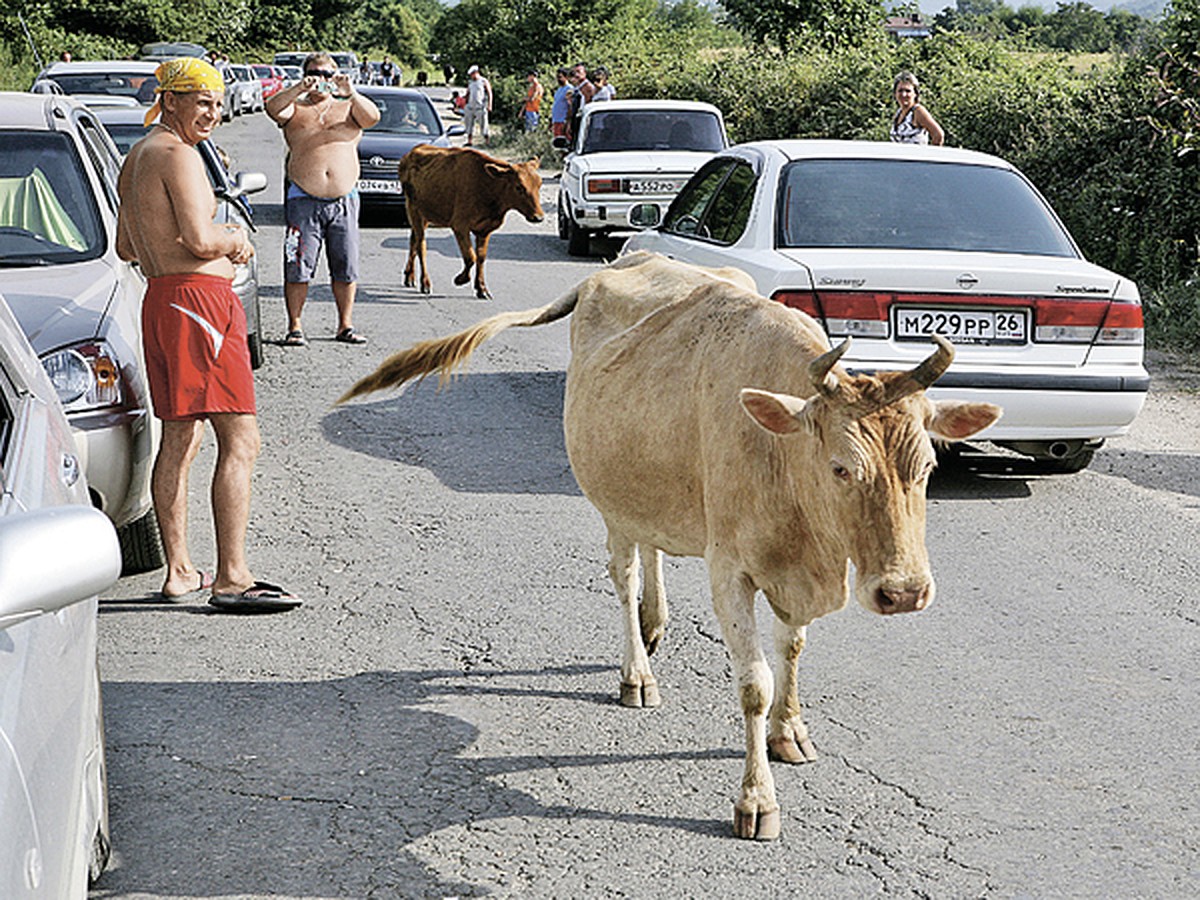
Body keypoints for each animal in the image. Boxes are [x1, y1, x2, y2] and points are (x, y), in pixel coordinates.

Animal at [340, 255, 1003, 844]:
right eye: (841, 468)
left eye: (927, 466)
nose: (905, 592)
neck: (782, 460)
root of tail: (624, 260)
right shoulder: (731, 571)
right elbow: (755, 683)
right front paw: (756, 801)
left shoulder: (798, 573)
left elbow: (792, 651)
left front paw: (789, 731)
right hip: (608, 495)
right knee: (625, 571)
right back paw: (637, 670)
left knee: (652, 546)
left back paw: (655, 623)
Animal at [398, 146, 544, 301]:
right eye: (519, 187)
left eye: (539, 184)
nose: (539, 217)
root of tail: (414, 150)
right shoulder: (460, 225)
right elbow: (470, 257)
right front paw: (460, 279)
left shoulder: (485, 229)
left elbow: (481, 257)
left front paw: (482, 288)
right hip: (413, 210)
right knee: (421, 246)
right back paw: (425, 283)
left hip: (425, 215)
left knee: (413, 242)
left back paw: (409, 277)